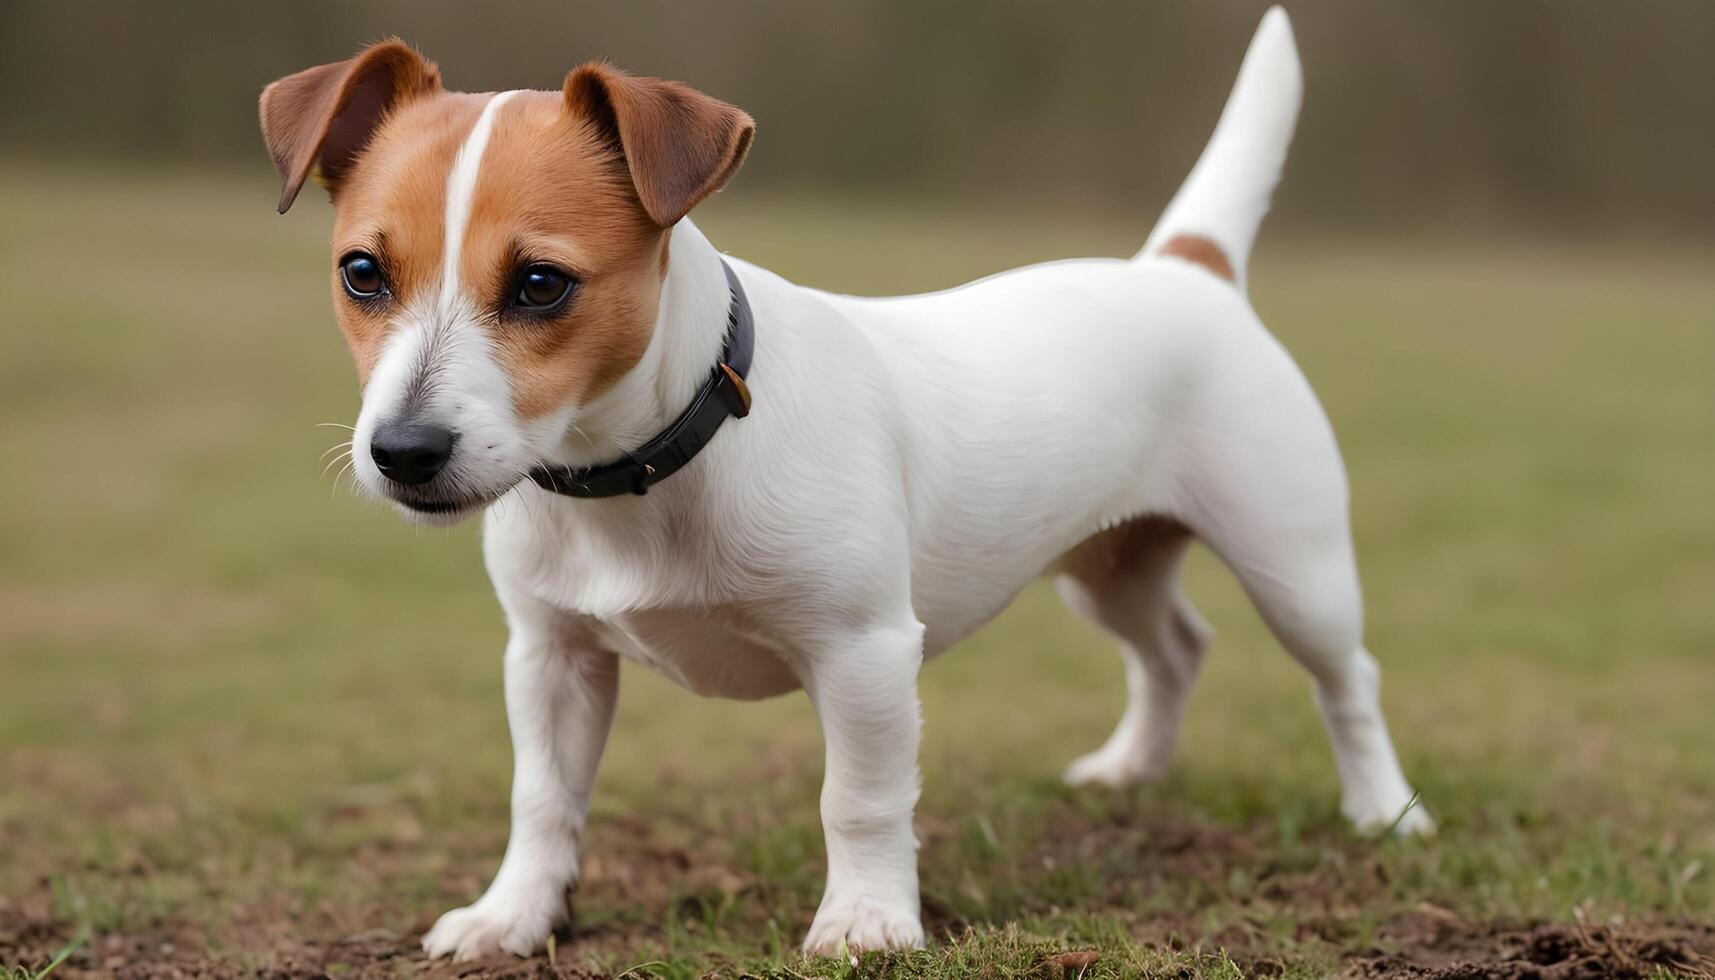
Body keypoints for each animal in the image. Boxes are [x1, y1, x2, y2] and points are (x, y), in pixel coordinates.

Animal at [257, 5, 1433, 961]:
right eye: (362, 273)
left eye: (541, 284)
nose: (403, 451)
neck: (652, 463)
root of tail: (1183, 268)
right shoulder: (552, 657)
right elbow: (543, 797)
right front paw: (514, 914)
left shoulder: (862, 653)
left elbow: (858, 799)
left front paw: (866, 920)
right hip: (1105, 565)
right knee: (1174, 647)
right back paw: (1131, 767)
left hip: (1293, 565)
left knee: (1347, 680)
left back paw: (1384, 810)